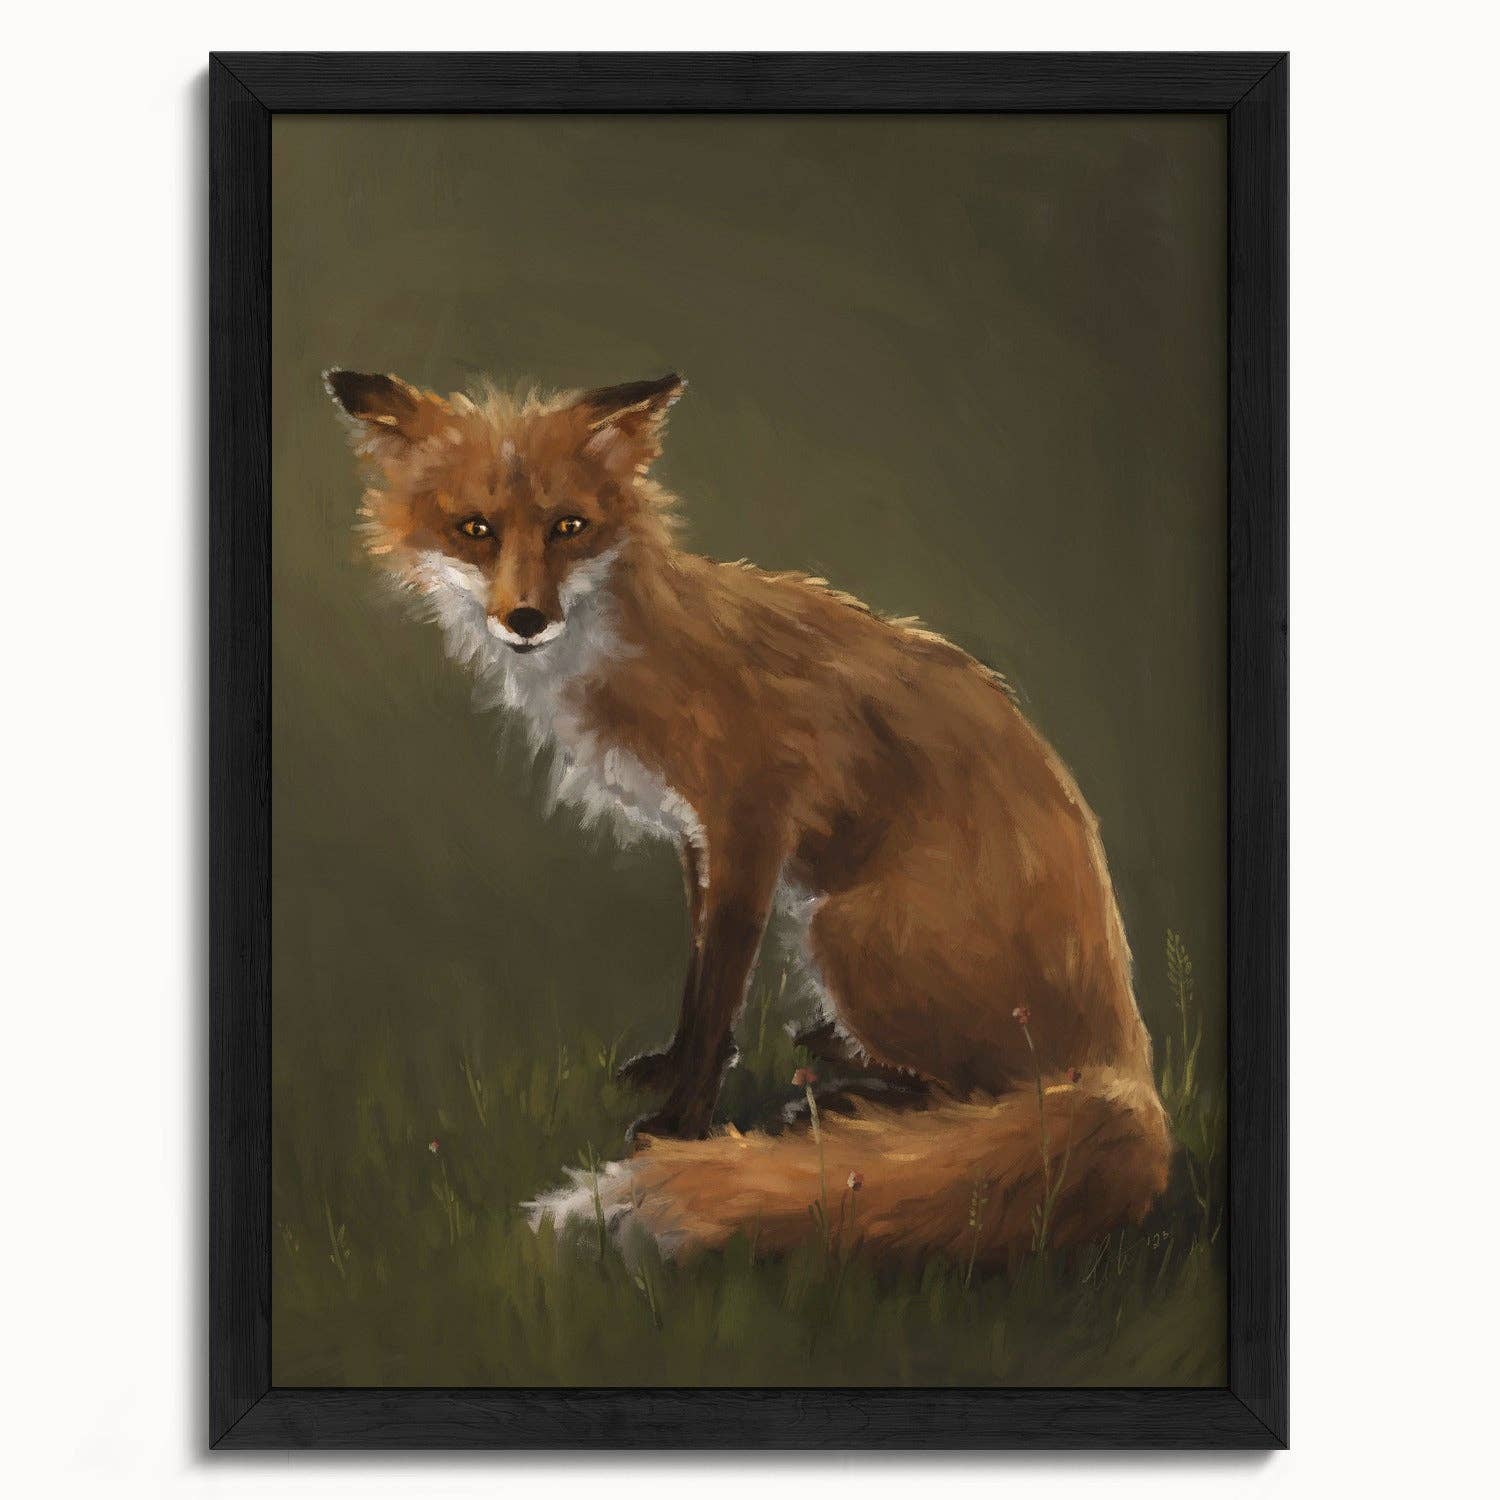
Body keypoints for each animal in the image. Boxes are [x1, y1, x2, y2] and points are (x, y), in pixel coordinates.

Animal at [325, 365, 1171, 1268]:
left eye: (569, 527)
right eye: (475, 530)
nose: (526, 619)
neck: (635, 649)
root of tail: (1126, 1060)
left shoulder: (752, 824)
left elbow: (719, 990)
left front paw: (678, 1123)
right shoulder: (698, 835)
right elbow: (700, 979)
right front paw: (672, 1070)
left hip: (840, 929)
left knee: (993, 1096)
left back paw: (846, 1100)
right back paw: (839, 1062)